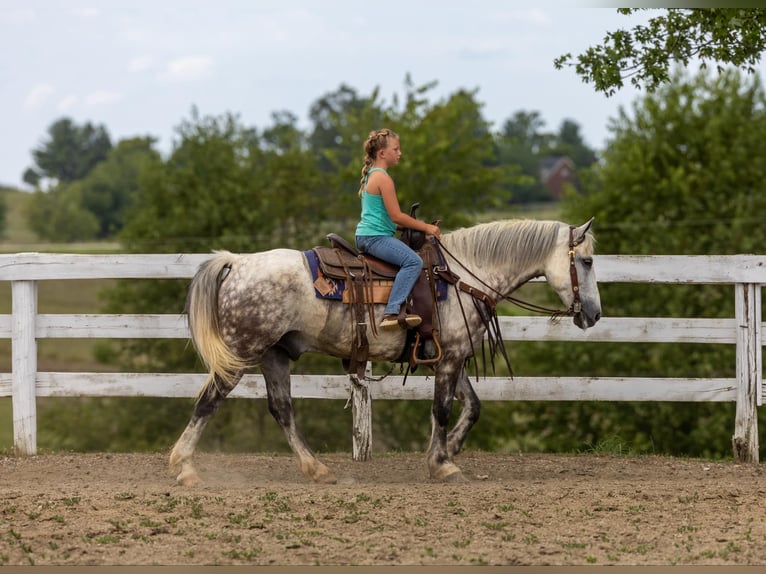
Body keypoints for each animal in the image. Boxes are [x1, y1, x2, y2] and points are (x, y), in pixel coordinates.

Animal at [169, 218, 602, 485]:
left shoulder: (451, 354)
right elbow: (442, 409)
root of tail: (236, 263)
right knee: (209, 401)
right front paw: (442, 464)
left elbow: (472, 406)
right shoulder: (449, 357)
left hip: (275, 354)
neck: (465, 276)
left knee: (281, 409)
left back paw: (316, 469)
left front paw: (450, 448)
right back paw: (185, 467)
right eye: (587, 260)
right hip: (241, 352)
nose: (595, 314)